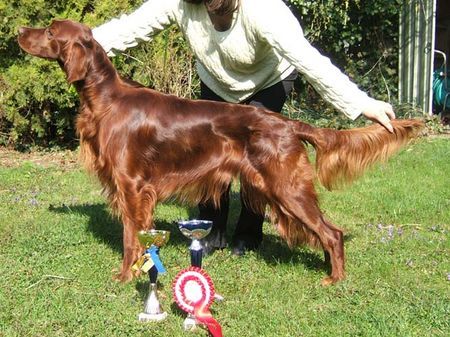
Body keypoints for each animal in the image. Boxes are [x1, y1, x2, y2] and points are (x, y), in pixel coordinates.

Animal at [19, 20, 424, 284]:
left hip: (287, 187)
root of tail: (288, 124)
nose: (19, 32)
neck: (105, 98)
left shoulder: (132, 185)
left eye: (50, 31)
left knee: (332, 233)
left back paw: (334, 281)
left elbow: (132, 238)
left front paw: (124, 277)